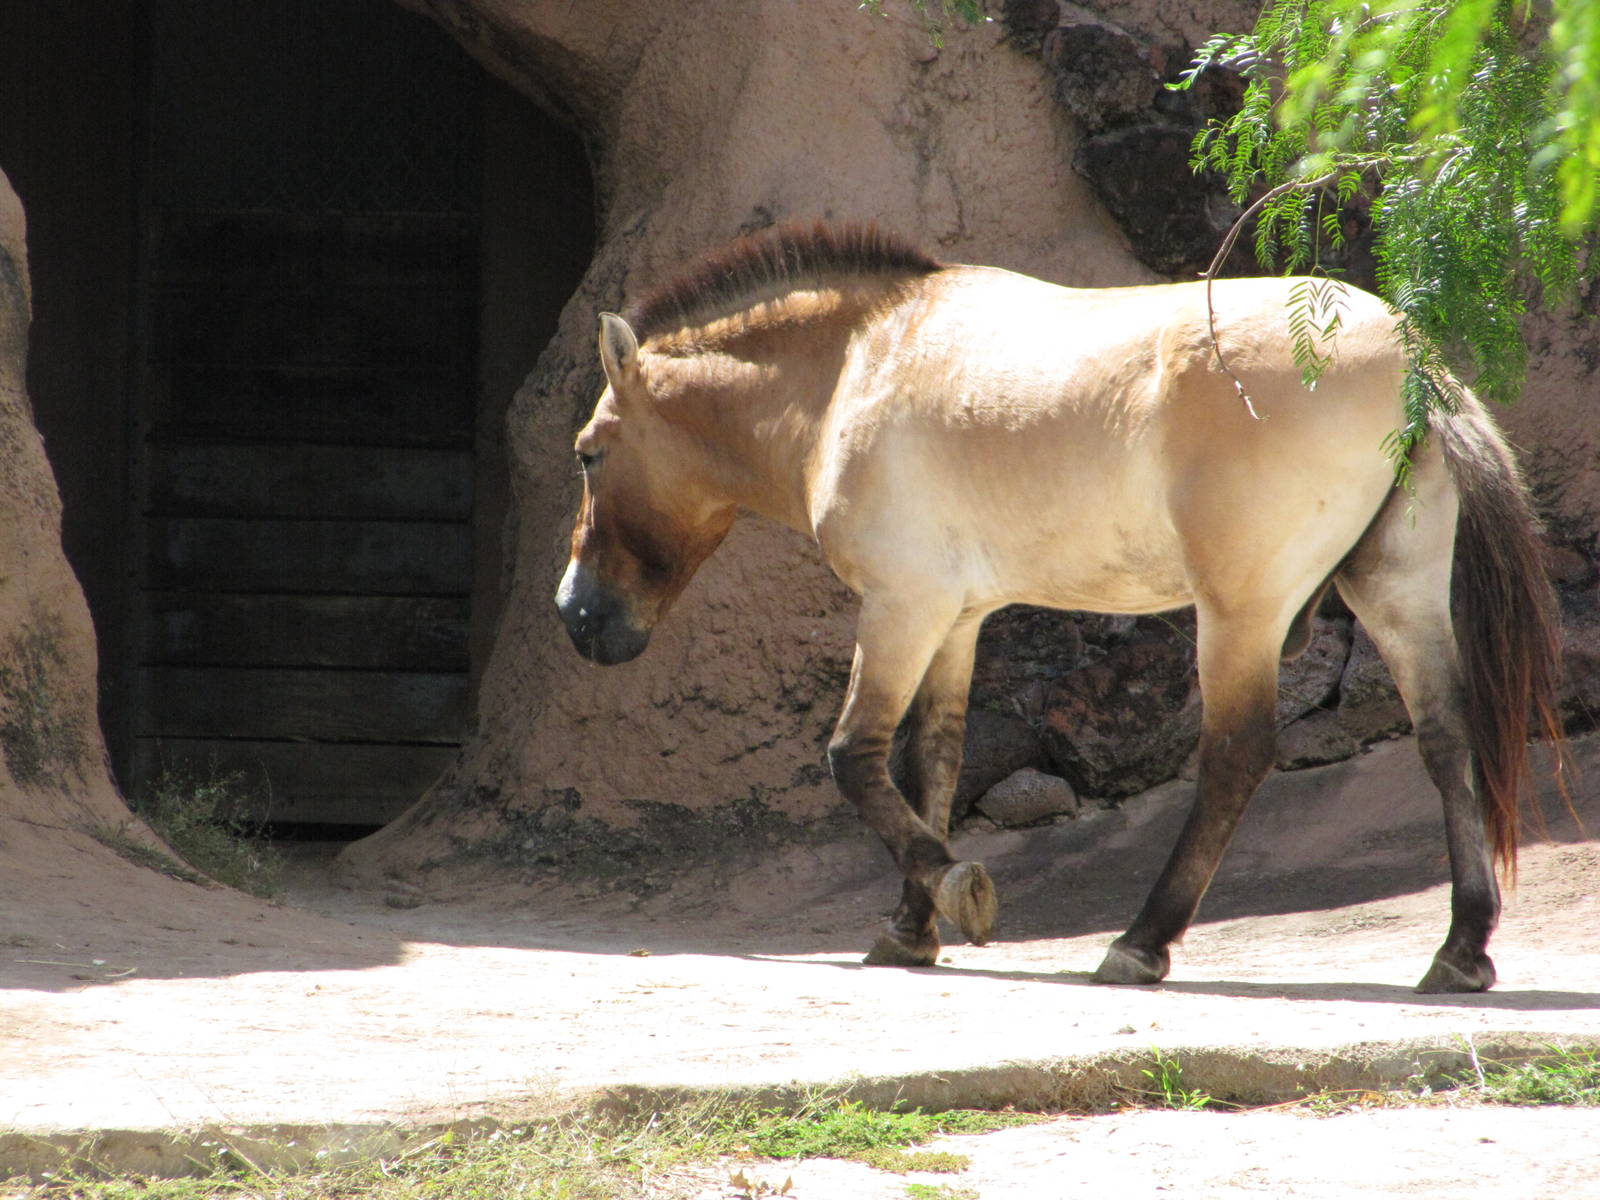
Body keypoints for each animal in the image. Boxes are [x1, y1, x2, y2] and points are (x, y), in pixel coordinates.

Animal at [555, 223, 1563, 993]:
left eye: (588, 453)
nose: (576, 617)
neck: (852, 369)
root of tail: (1411, 359)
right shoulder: (955, 619)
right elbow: (931, 763)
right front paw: (910, 929)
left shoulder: (901, 606)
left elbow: (855, 757)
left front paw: (953, 891)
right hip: (1394, 589)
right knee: (1446, 737)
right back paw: (1461, 949)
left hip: (1241, 613)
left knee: (1236, 758)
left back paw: (1141, 943)